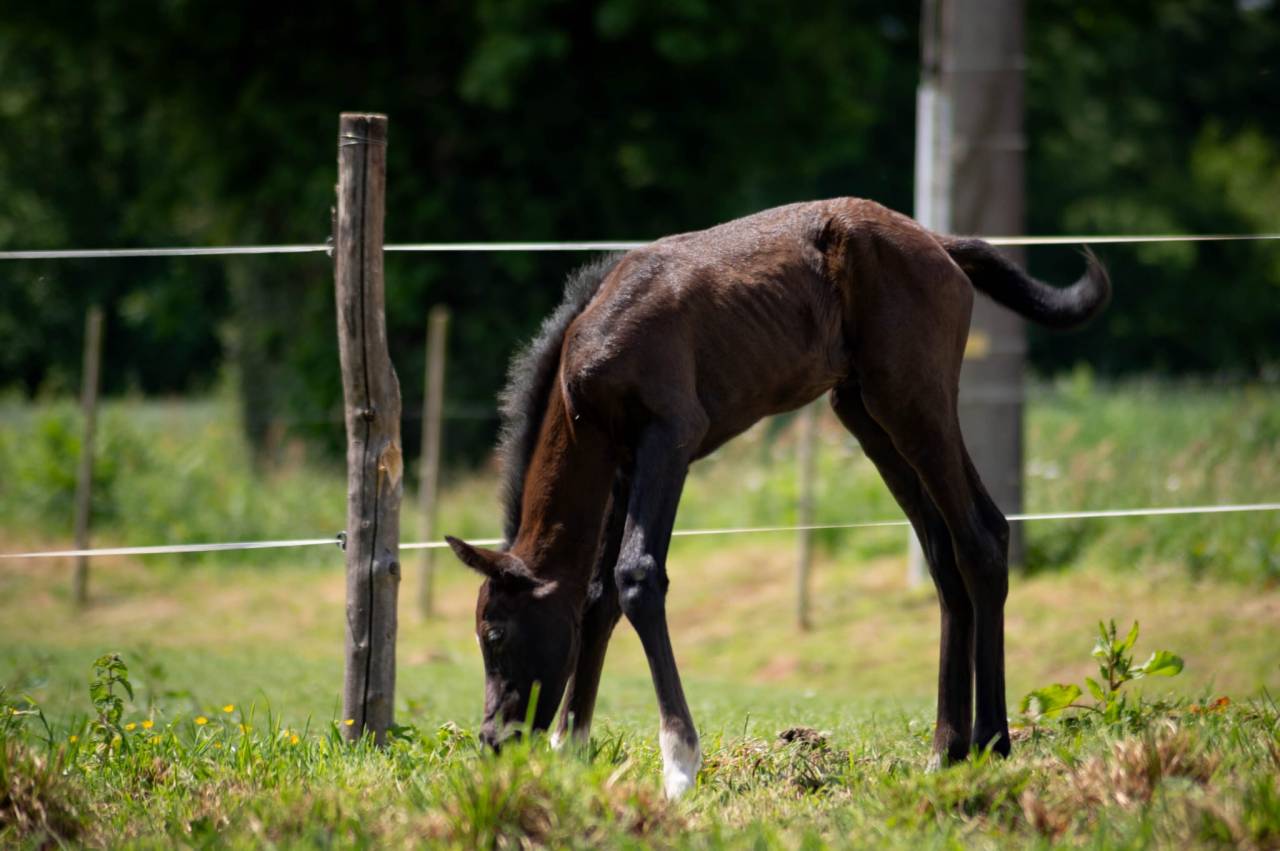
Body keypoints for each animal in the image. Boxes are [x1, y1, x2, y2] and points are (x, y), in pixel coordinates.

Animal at [445, 197, 1109, 798]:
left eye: (494, 635)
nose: (495, 741)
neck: (588, 357)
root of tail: (937, 242)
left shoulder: (668, 438)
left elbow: (635, 576)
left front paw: (680, 766)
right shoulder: (623, 463)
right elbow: (594, 595)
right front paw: (571, 748)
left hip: (914, 401)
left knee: (982, 537)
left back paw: (992, 742)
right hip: (865, 413)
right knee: (944, 554)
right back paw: (946, 749)